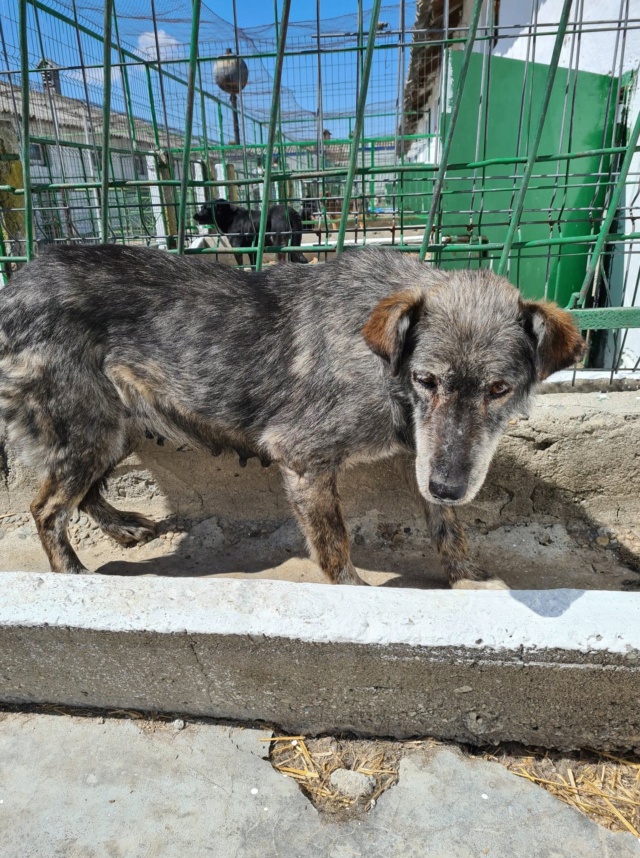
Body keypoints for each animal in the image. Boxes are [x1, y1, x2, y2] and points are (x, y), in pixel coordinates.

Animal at [0, 244, 584, 584]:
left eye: (499, 389)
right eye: (427, 380)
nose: (447, 485)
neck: (384, 364)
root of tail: (13, 284)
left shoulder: (427, 457)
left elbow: (448, 527)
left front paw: (468, 578)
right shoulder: (305, 460)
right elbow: (336, 549)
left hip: (113, 426)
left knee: (82, 491)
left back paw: (122, 526)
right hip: (88, 425)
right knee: (47, 507)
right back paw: (74, 575)